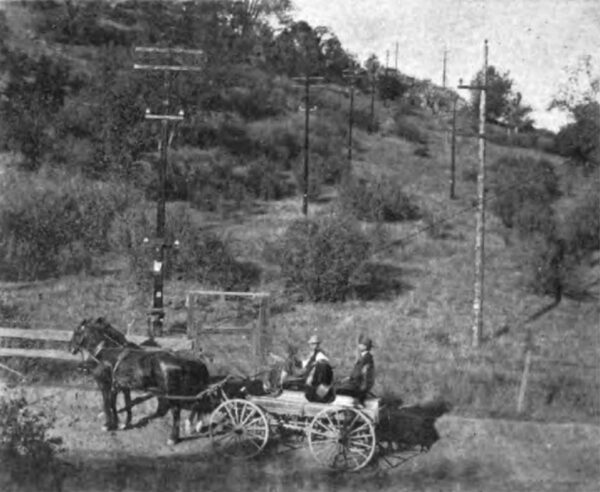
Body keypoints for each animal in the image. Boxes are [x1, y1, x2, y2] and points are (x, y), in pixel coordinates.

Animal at [70, 318, 210, 444]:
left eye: (76, 332)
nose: (70, 348)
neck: (107, 353)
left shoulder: (105, 385)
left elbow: (107, 404)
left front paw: (107, 425)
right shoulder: (120, 387)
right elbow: (121, 404)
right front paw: (121, 424)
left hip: (172, 394)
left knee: (177, 411)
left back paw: (173, 438)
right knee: (198, 403)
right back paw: (194, 427)